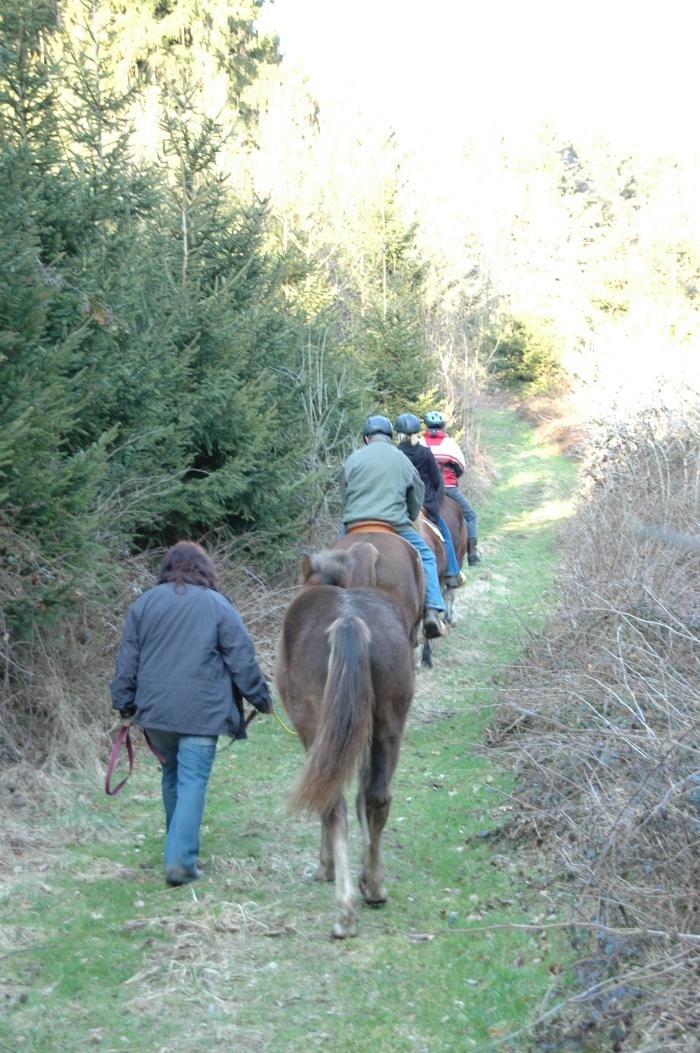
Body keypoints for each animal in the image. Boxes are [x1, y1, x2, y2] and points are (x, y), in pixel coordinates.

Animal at [273, 585, 414, 939]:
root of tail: (348, 620)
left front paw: (326, 866)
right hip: (387, 727)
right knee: (377, 797)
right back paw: (374, 888)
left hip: (316, 728)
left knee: (332, 804)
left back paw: (345, 913)